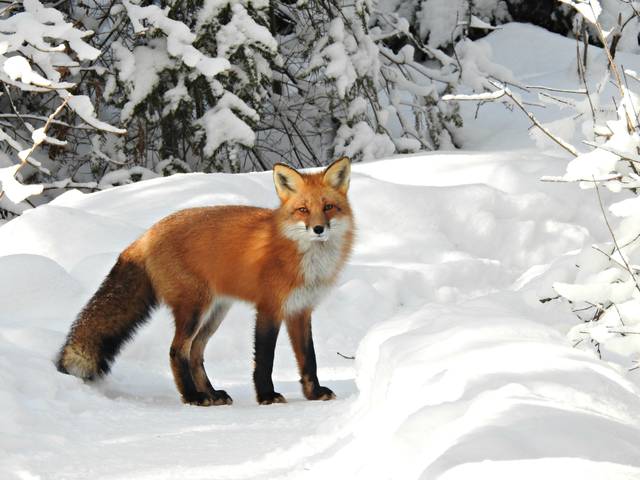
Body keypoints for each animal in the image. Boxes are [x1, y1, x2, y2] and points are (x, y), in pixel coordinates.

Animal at [56, 157, 354, 406]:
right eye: (303, 209)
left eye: (328, 207)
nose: (318, 229)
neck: (304, 258)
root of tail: (146, 234)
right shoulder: (269, 308)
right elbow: (265, 359)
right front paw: (266, 396)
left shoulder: (300, 310)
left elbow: (309, 359)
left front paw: (313, 393)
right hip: (194, 309)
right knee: (177, 352)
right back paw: (192, 397)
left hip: (215, 312)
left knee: (196, 353)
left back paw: (211, 393)